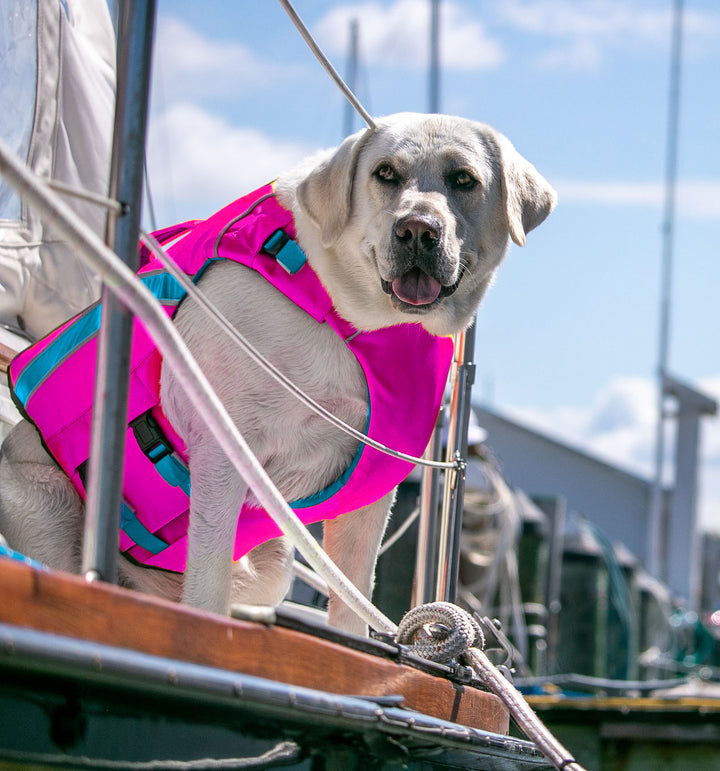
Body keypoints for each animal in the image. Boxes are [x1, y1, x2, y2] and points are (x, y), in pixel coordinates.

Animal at [0, 113, 556, 632]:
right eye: (385, 173)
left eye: (464, 179)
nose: (417, 229)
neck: (351, 319)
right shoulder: (223, 448)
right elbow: (207, 586)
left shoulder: (372, 494)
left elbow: (353, 599)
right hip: (49, 510)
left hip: (270, 568)